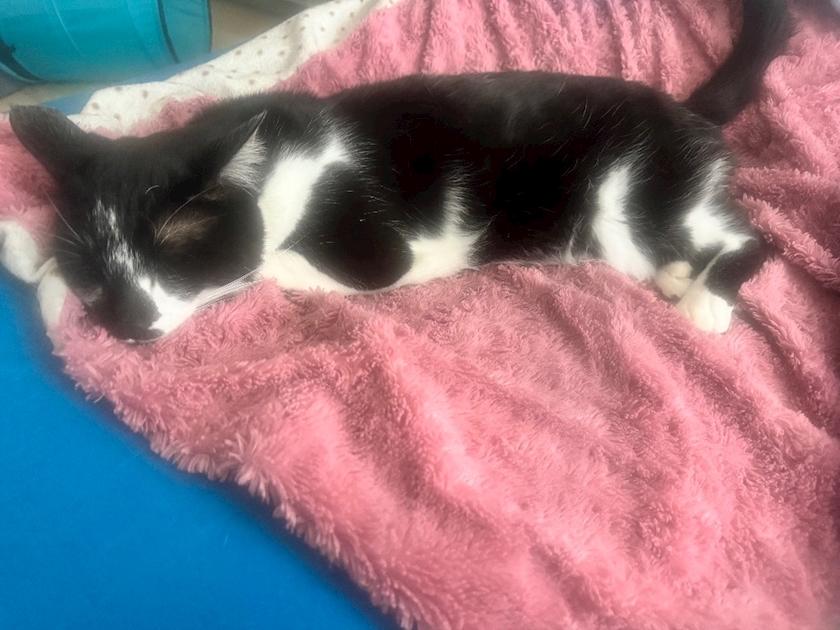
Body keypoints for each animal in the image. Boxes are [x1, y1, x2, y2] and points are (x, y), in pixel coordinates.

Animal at [9, 0, 790, 343]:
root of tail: (684, 108)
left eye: (179, 251)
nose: (133, 324)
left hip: (630, 194)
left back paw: (704, 300)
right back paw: (681, 275)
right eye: (93, 268)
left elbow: (314, 268)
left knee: (750, 237)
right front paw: (41, 271)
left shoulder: (380, 241)